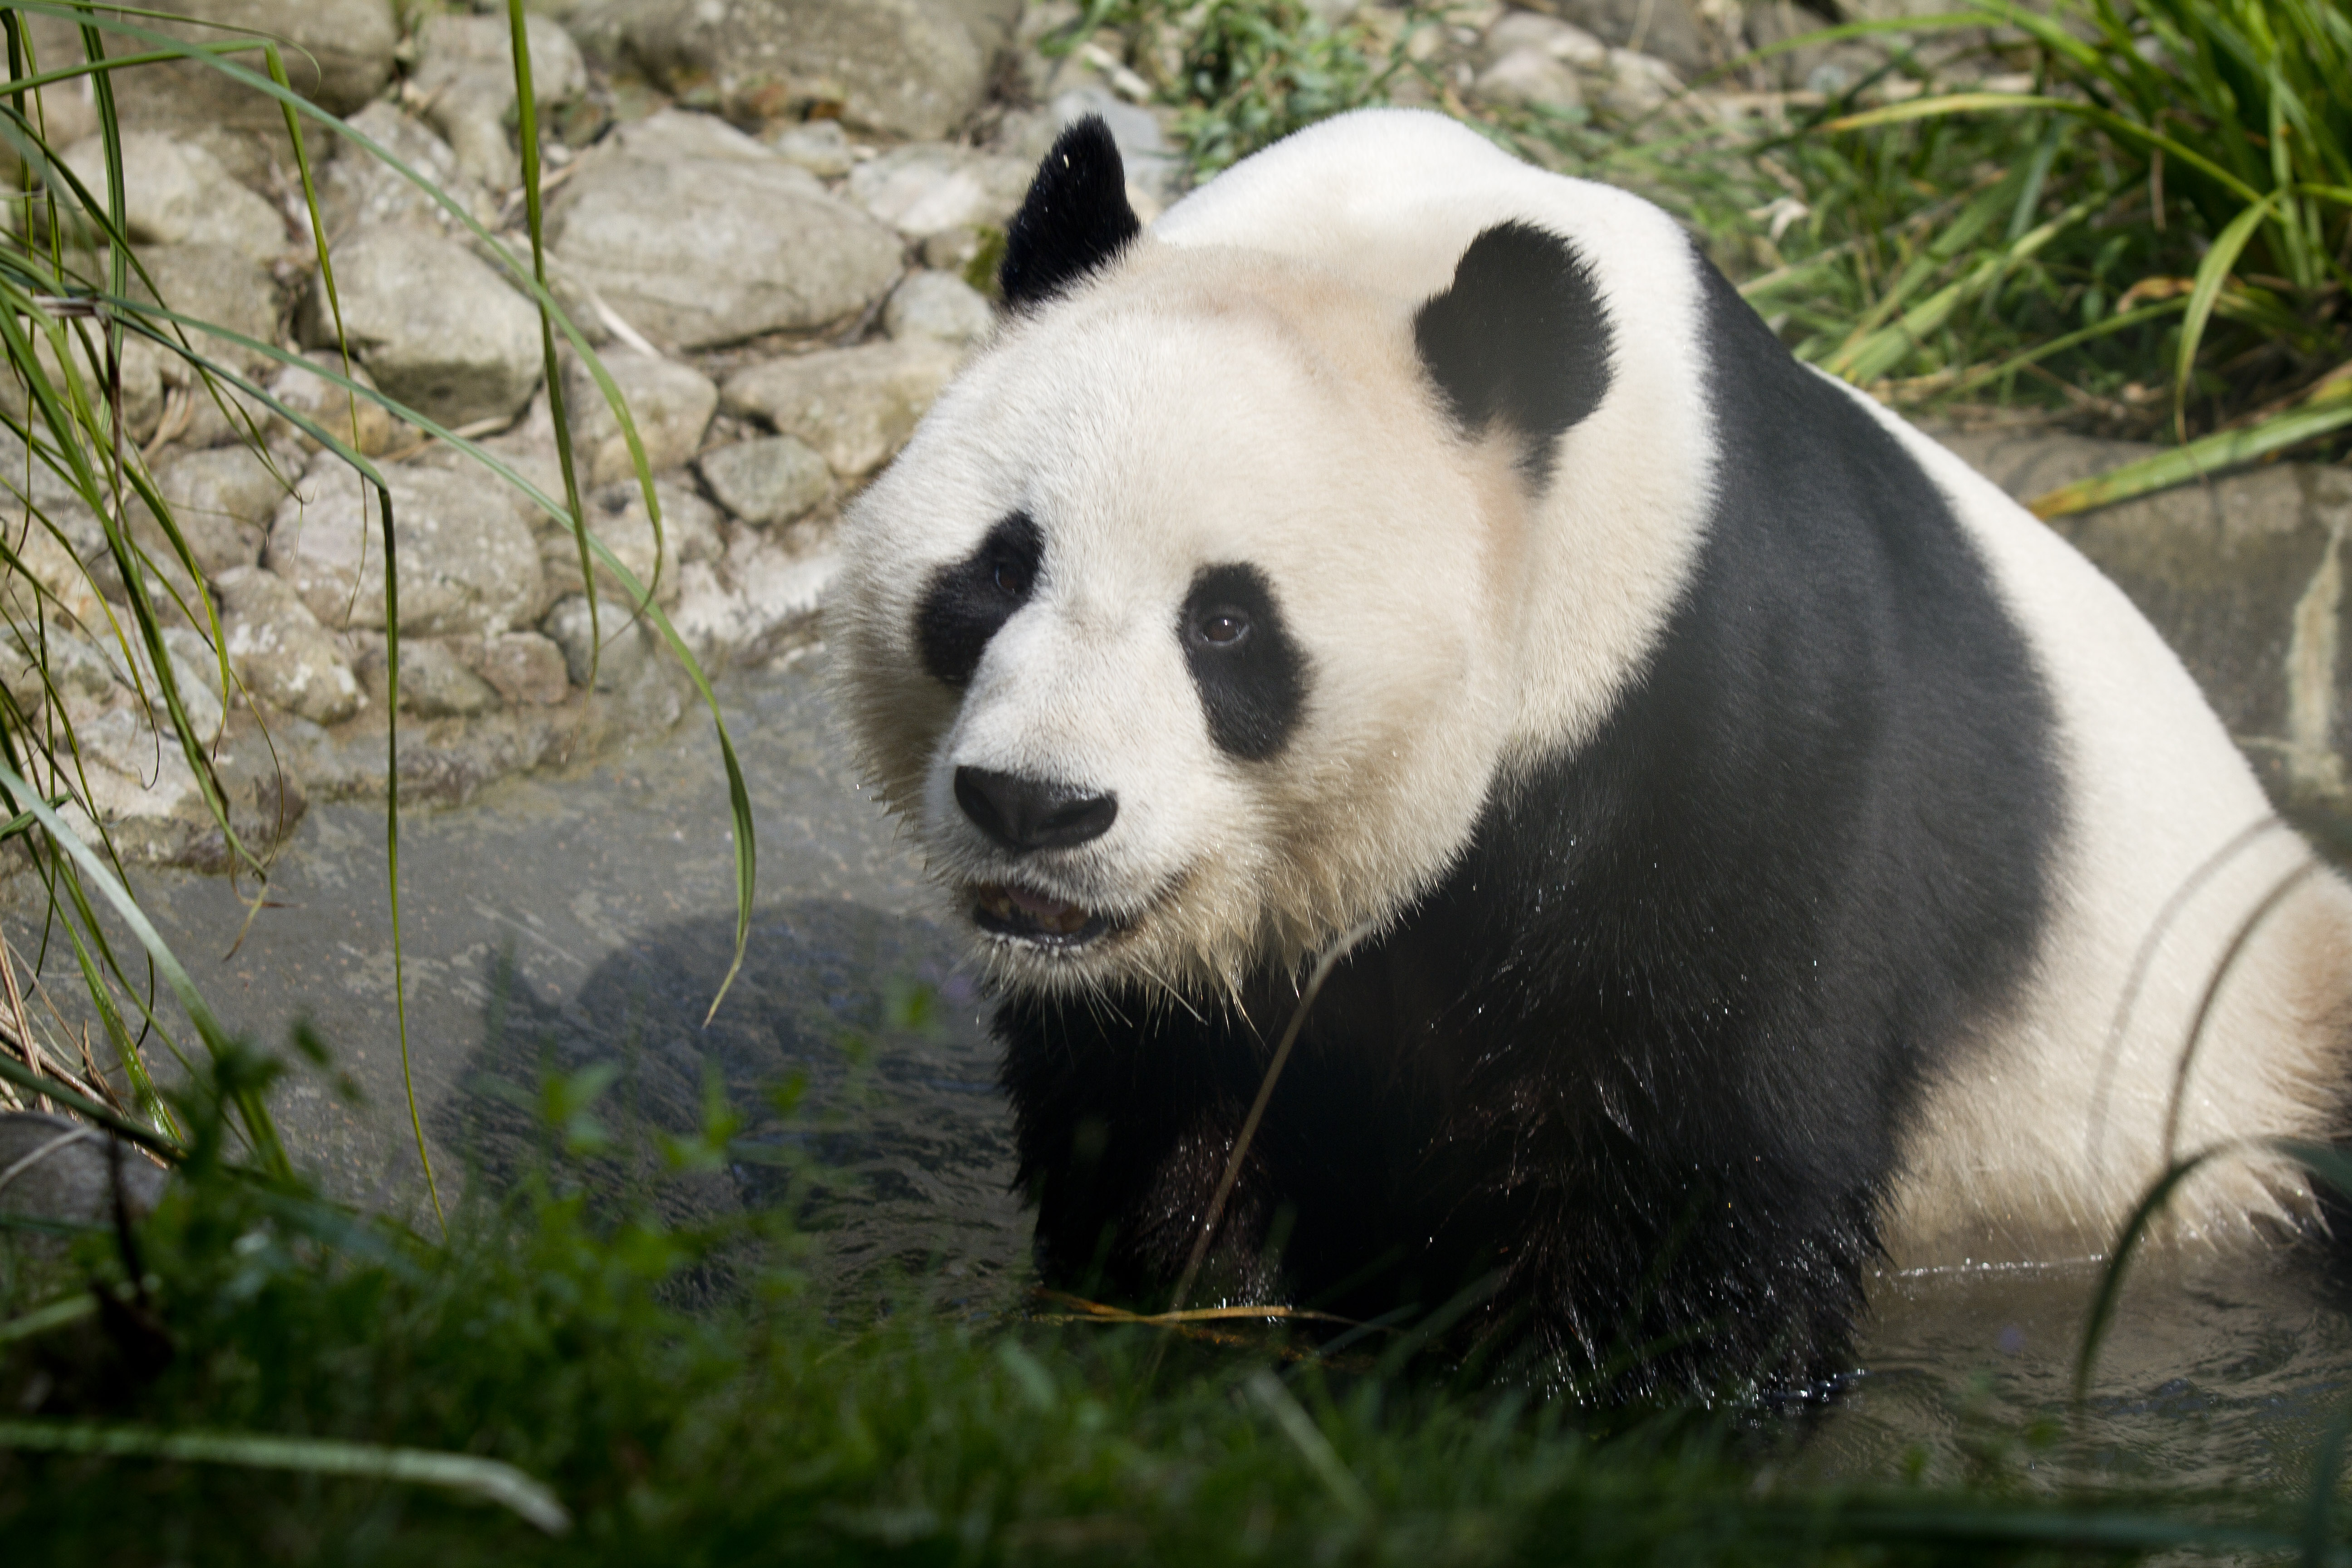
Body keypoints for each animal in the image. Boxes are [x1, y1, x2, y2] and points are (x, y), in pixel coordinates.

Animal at [833, 104, 2352, 1392]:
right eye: (999, 569)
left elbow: (1696, 1159)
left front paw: (1593, 1409)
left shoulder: (1732, 724)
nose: (1032, 805)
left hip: (2230, 1044)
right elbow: (1163, 1124)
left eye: (1226, 624)